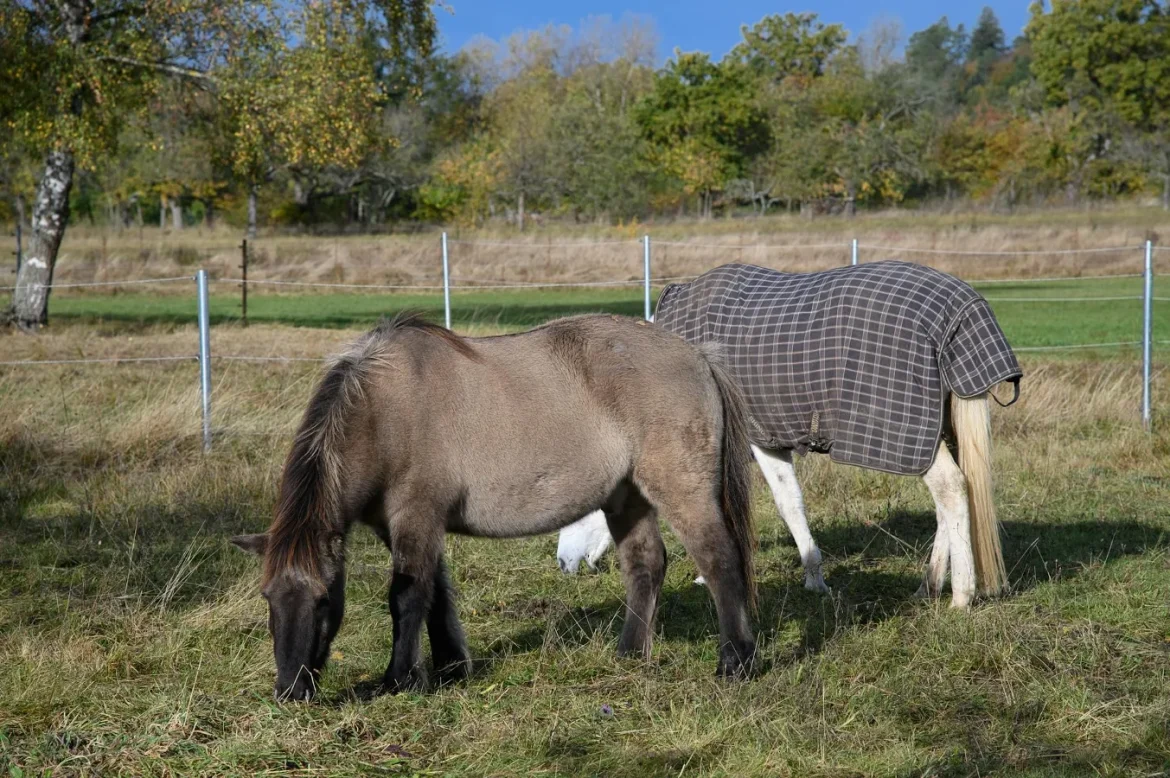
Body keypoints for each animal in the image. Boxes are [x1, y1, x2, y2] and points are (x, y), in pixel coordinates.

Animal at [231, 312, 757, 701]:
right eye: (268, 598)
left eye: (324, 600)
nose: (290, 692)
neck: (384, 411)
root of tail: (697, 354)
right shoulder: (404, 525)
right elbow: (436, 593)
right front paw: (449, 668)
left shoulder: (416, 517)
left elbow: (407, 596)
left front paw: (399, 680)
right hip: (626, 496)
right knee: (646, 563)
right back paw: (630, 653)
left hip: (680, 489)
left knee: (718, 559)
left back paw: (737, 661)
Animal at [558, 261, 1022, 609]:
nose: (563, 564)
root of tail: (962, 311)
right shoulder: (770, 440)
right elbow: (793, 504)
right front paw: (813, 576)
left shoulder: (747, 442)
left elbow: (771, 504)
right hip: (936, 430)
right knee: (955, 497)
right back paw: (928, 585)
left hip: (910, 436)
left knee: (951, 489)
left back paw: (960, 595)